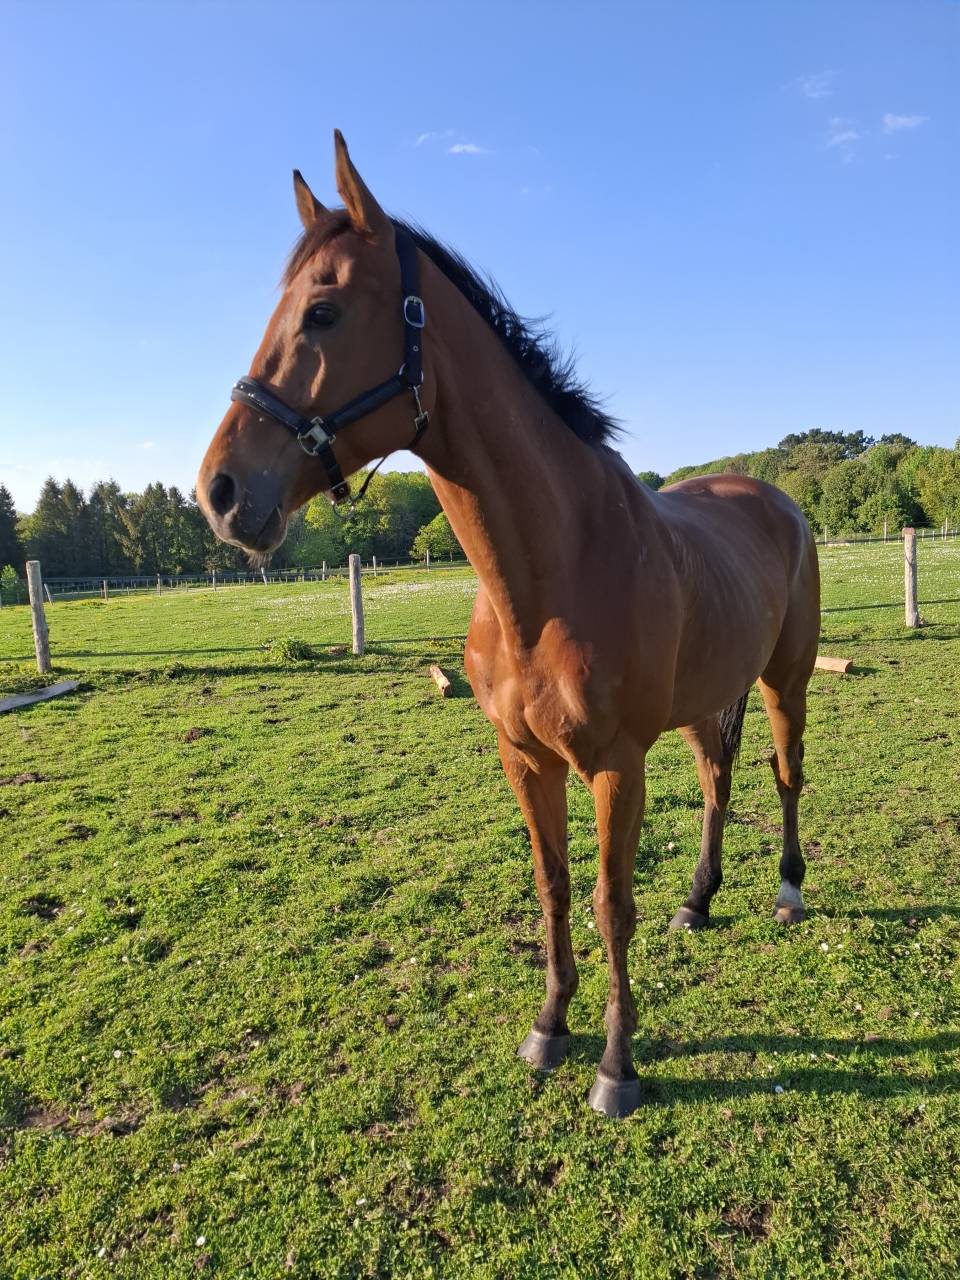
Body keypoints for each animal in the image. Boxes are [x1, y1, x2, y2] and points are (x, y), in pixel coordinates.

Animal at [197, 132, 820, 1118]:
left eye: (323, 313)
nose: (219, 493)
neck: (553, 569)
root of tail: (775, 499)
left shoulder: (614, 765)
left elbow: (609, 904)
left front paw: (616, 1067)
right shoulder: (524, 758)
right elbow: (553, 885)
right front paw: (549, 1028)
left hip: (784, 679)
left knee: (786, 772)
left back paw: (789, 891)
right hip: (702, 703)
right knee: (720, 781)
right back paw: (699, 900)